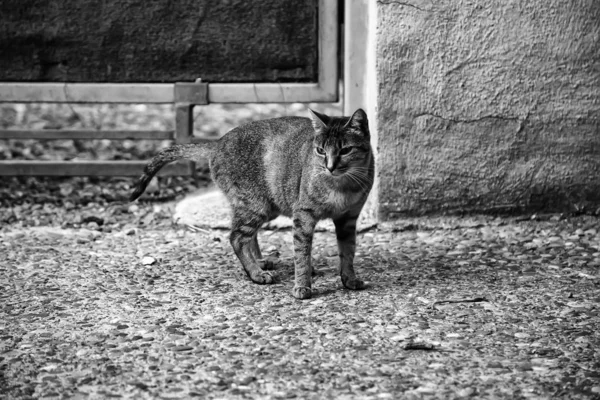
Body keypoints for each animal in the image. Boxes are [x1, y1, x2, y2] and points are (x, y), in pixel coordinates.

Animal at [131, 108, 376, 298]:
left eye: (345, 150)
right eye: (320, 150)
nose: (330, 166)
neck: (342, 186)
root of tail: (217, 143)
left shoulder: (348, 219)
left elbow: (348, 252)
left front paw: (349, 279)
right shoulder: (303, 216)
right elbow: (302, 253)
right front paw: (302, 285)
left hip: (265, 206)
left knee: (249, 235)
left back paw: (259, 262)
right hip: (254, 205)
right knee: (236, 237)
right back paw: (256, 273)